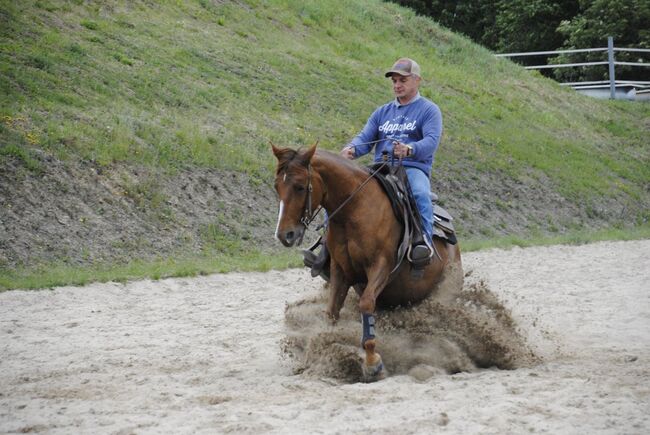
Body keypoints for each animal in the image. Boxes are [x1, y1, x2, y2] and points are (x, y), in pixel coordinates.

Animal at [272, 144, 460, 382]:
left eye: (299, 187)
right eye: (277, 186)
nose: (284, 235)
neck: (354, 210)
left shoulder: (380, 267)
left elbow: (366, 305)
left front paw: (372, 363)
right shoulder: (340, 270)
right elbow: (332, 312)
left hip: (445, 291)